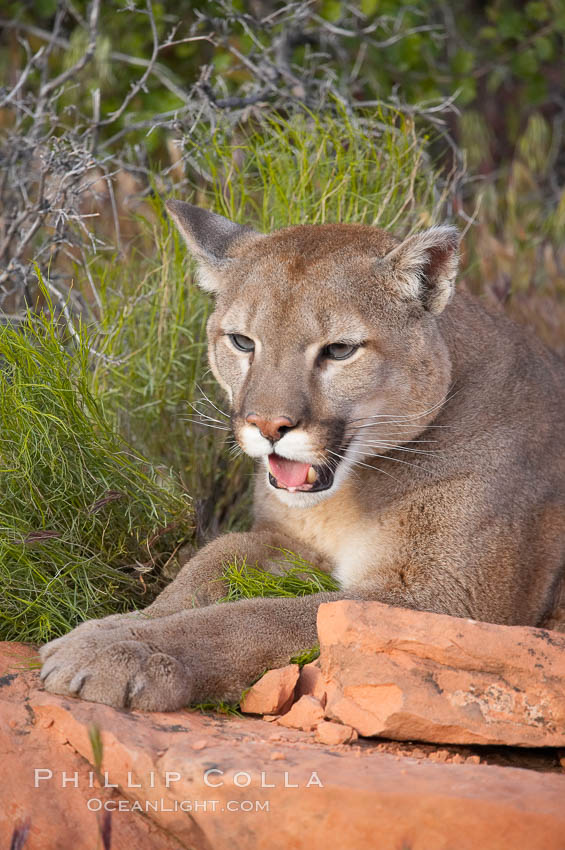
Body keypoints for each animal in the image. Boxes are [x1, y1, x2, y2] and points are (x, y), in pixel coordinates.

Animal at [39, 200, 564, 708]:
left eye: (340, 350)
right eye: (242, 341)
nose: (268, 426)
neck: (346, 500)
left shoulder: (443, 602)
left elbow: (257, 617)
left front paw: (121, 650)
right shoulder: (288, 539)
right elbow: (213, 557)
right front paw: (122, 624)